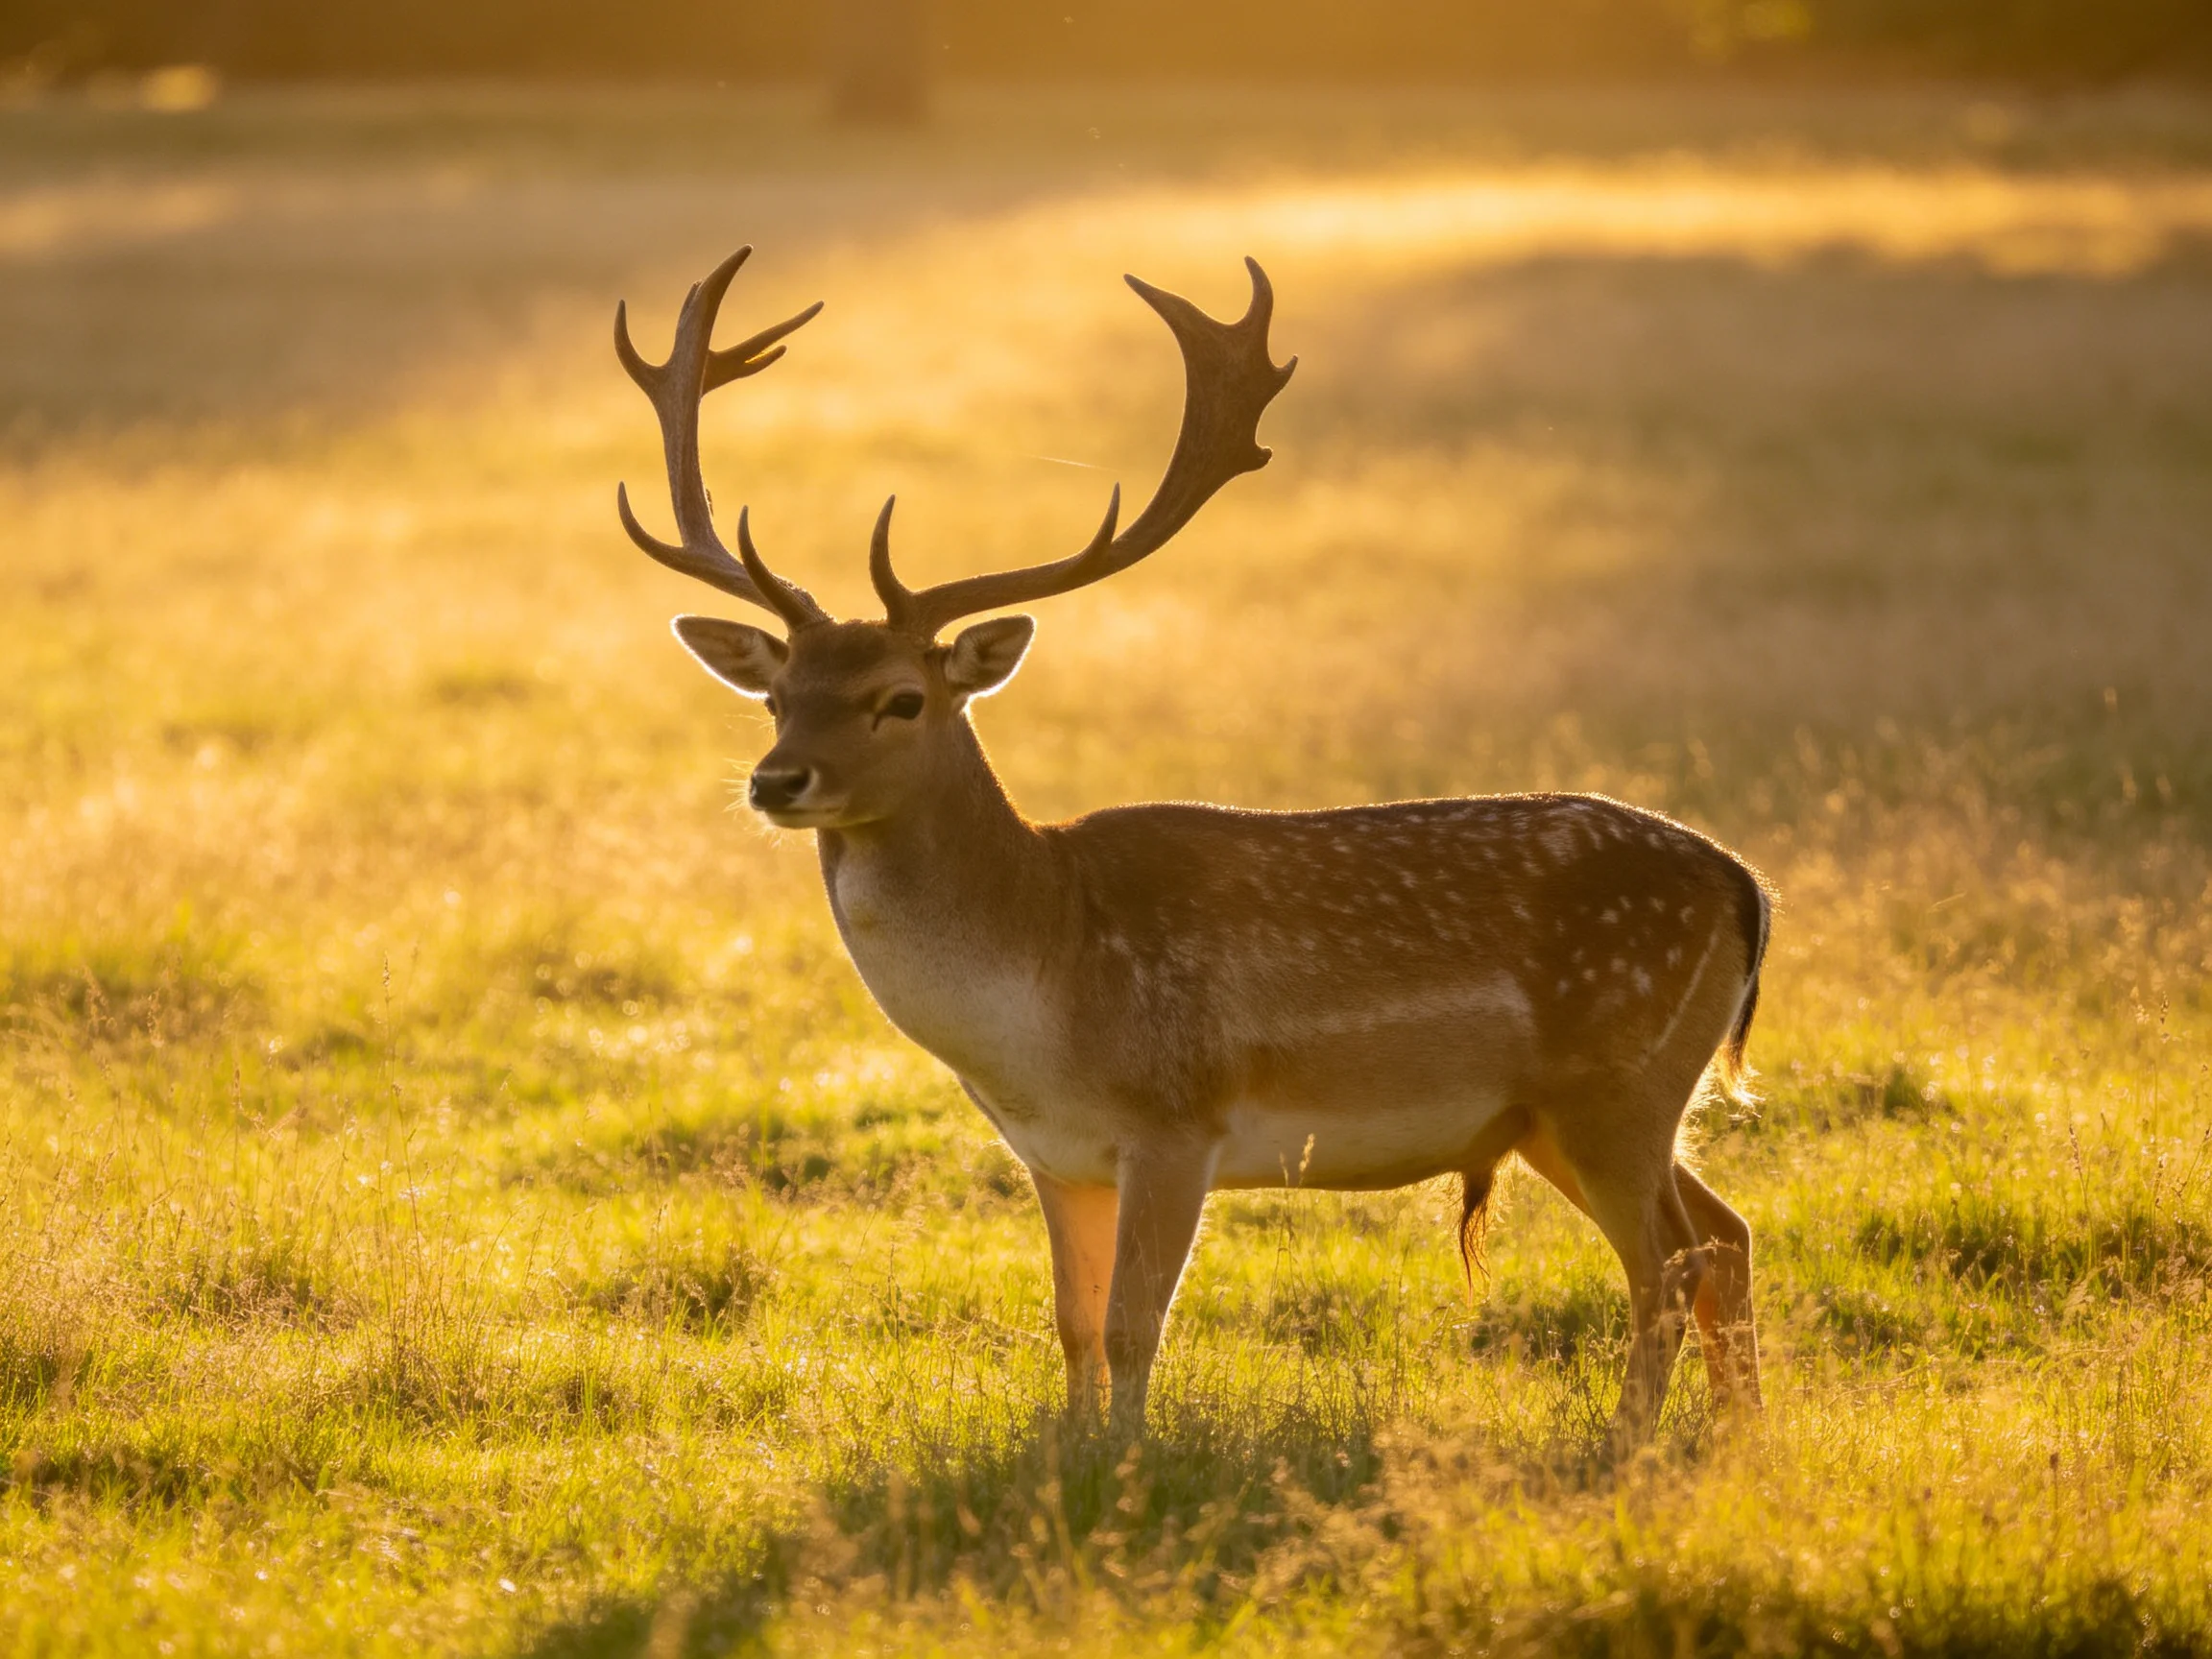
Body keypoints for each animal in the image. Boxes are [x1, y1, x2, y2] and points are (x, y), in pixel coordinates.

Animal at [614, 245, 1771, 1443]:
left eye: (901, 699)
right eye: (776, 697)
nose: (775, 779)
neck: (1043, 984)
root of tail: (1745, 888)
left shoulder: (1176, 1121)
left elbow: (1134, 1326)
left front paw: (1128, 1461)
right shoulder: (1058, 1155)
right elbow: (1073, 1325)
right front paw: (1074, 1453)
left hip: (1614, 1080)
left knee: (1670, 1260)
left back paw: (1629, 1442)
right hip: (1570, 1112)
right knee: (1727, 1233)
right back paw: (1743, 1437)